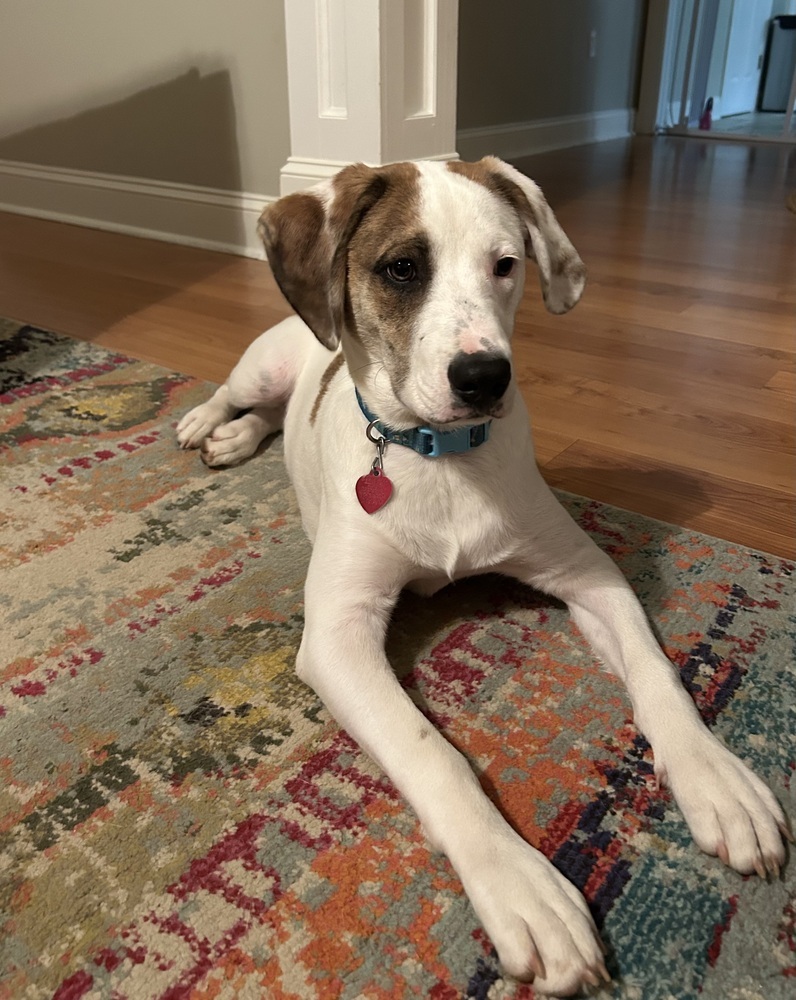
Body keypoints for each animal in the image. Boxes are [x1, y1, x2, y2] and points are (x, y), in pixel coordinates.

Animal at [176, 160, 788, 996]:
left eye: (506, 264)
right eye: (403, 267)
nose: (484, 376)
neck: (439, 456)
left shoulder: (589, 574)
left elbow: (657, 675)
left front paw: (717, 780)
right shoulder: (337, 634)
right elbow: (430, 753)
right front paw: (518, 881)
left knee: (272, 415)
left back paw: (239, 437)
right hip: (261, 363)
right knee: (236, 392)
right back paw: (210, 425)